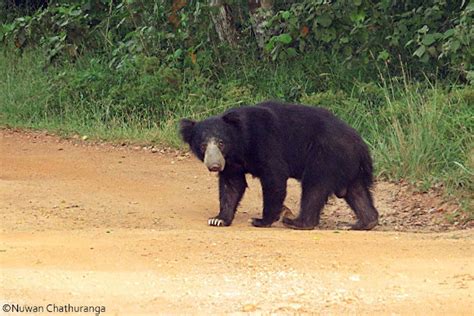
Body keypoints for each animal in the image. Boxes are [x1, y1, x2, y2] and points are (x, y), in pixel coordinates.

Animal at [180, 101, 380, 230]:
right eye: (203, 145)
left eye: (221, 143)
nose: (214, 165)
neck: (241, 143)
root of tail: (361, 144)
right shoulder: (231, 162)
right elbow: (232, 185)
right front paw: (218, 220)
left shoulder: (267, 143)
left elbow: (274, 178)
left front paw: (261, 220)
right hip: (347, 164)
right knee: (356, 192)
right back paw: (365, 222)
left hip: (326, 156)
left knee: (314, 186)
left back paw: (297, 222)